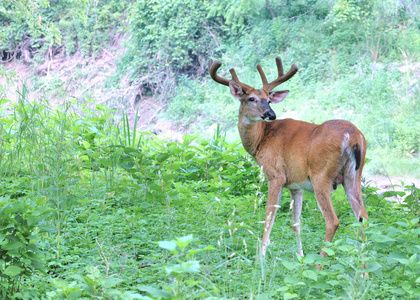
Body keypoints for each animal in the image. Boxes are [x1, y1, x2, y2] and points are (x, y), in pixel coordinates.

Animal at [210, 56, 368, 260]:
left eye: (269, 99)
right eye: (251, 98)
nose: (271, 114)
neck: (261, 140)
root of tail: (354, 136)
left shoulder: (275, 175)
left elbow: (269, 217)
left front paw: (261, 256)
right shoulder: (295, 184)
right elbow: (295, 222)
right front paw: (300, 256)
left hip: (321, 175)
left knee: (333, 221)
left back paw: (320, 263)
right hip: (354, 175)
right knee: (362, 216)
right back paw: (362, 265)